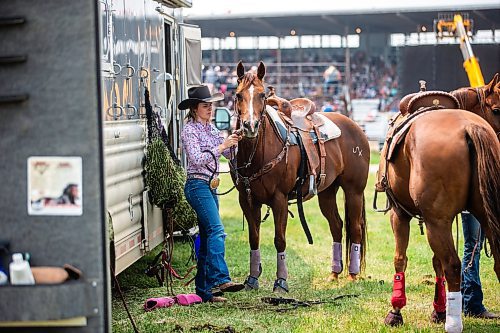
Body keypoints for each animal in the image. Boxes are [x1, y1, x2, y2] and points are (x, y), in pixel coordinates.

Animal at [232, 61, 370, 290]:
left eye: (262, 95)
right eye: (238, 95)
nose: (250, 126)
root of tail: (357, 128)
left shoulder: (279, 199)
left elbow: (279, 239)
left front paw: (281, 281)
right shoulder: (247, 200)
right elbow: (254, 238)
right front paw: (252, 279)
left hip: (354, 191)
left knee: (356, 228)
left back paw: (353, 275)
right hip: (327, 192)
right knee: (336, 226)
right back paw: (334, 273)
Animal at [378, 91, 500, 330]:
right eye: (497, 109)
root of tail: (469, 127)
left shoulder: (400, 214)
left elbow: (400, 259)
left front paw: (395, 311)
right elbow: (437, 264)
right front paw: (439, 311)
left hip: (436, 222)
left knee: (452, 265)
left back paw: (453, 324)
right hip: (481, 216)